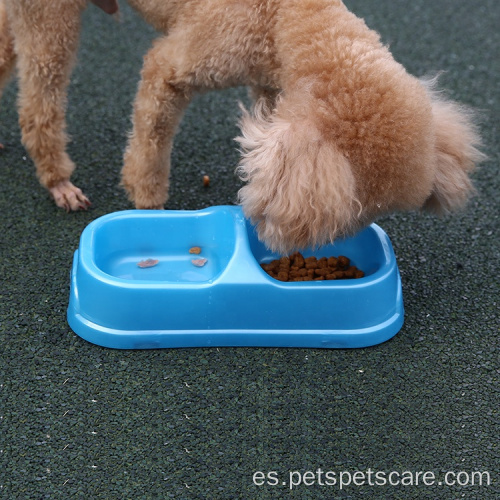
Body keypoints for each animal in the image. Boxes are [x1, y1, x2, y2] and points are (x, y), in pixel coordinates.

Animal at [0, 0, 484, 250]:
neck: (287, 15)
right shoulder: (174, 65)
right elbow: (152, 134)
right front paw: (149, 204)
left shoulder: (271, 87)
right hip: (49, 17)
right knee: (39, 97)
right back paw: (57, 180)